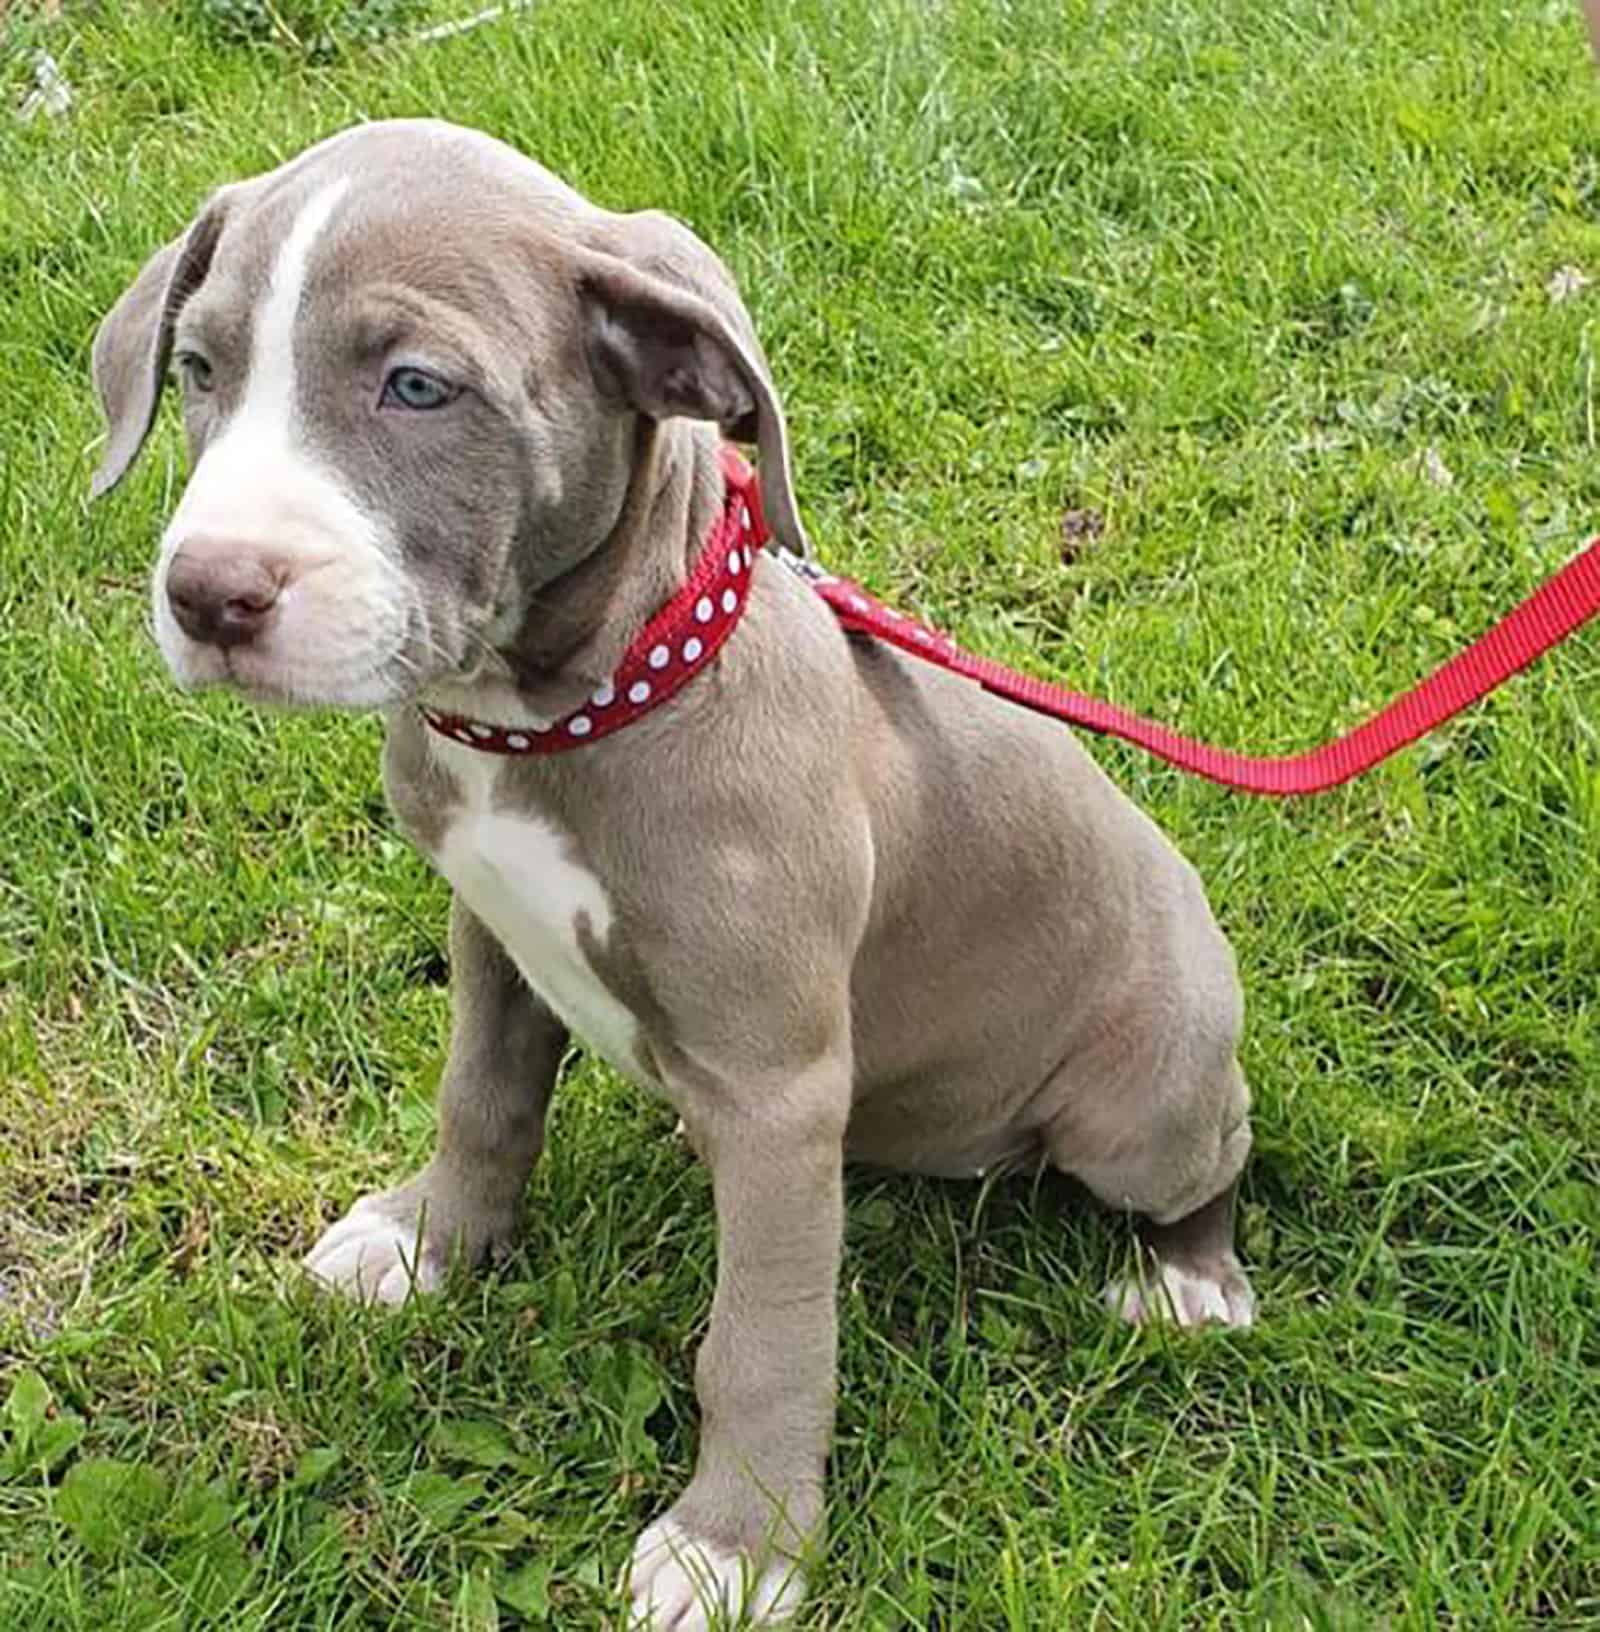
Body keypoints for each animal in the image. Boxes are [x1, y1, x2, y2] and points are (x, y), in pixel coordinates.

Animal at [93, 120, 1253, 1625]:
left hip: (1141, 1108)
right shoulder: (491, 938)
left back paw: (1191, 1281)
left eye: (418, 387)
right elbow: (481, 1106)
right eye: (199, 370)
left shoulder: (775, 1084)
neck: (567, 712)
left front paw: (737, 1544)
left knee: (1214, 1157)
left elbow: (761, 1335)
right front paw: (430, 1248)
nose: (210, 592)